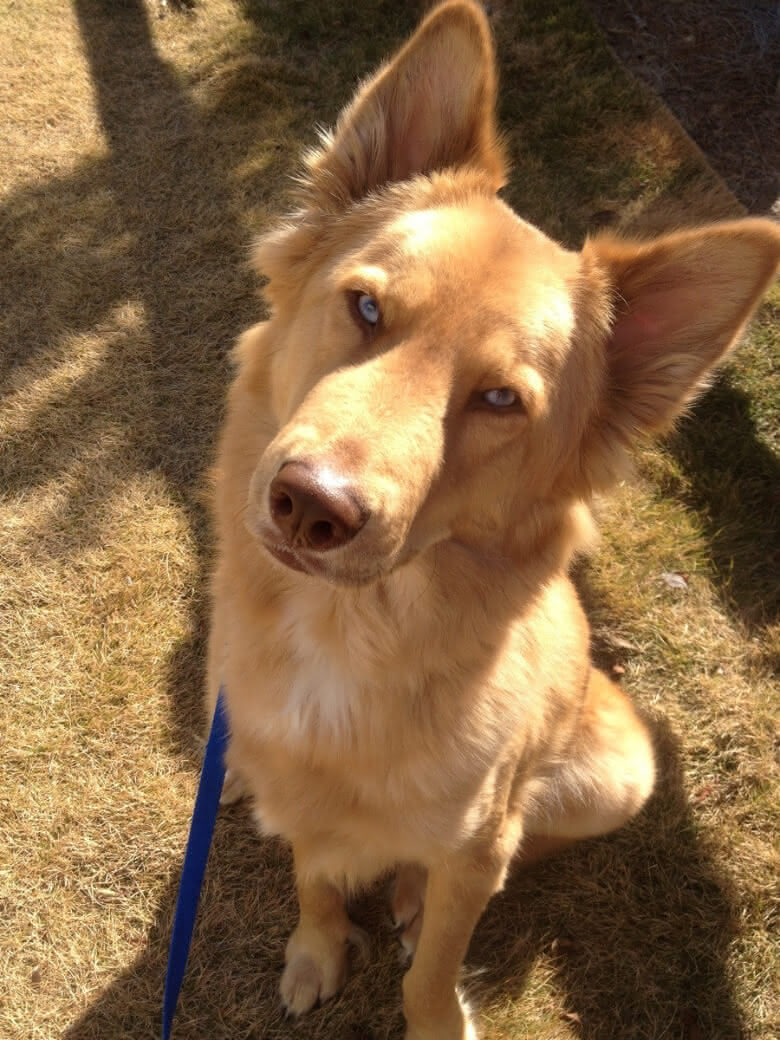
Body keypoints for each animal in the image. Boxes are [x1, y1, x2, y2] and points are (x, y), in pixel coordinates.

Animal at [208, 4, 780, 1035]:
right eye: (365, 306)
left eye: (501, 400)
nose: (311, 504)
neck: (346, 643)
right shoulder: (300, 798)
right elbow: (313, 877)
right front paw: (317, 948)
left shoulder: (474, 846)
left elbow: (434, 962)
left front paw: (424, 985)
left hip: (621, 771)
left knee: (512, 844)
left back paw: (409, 888)